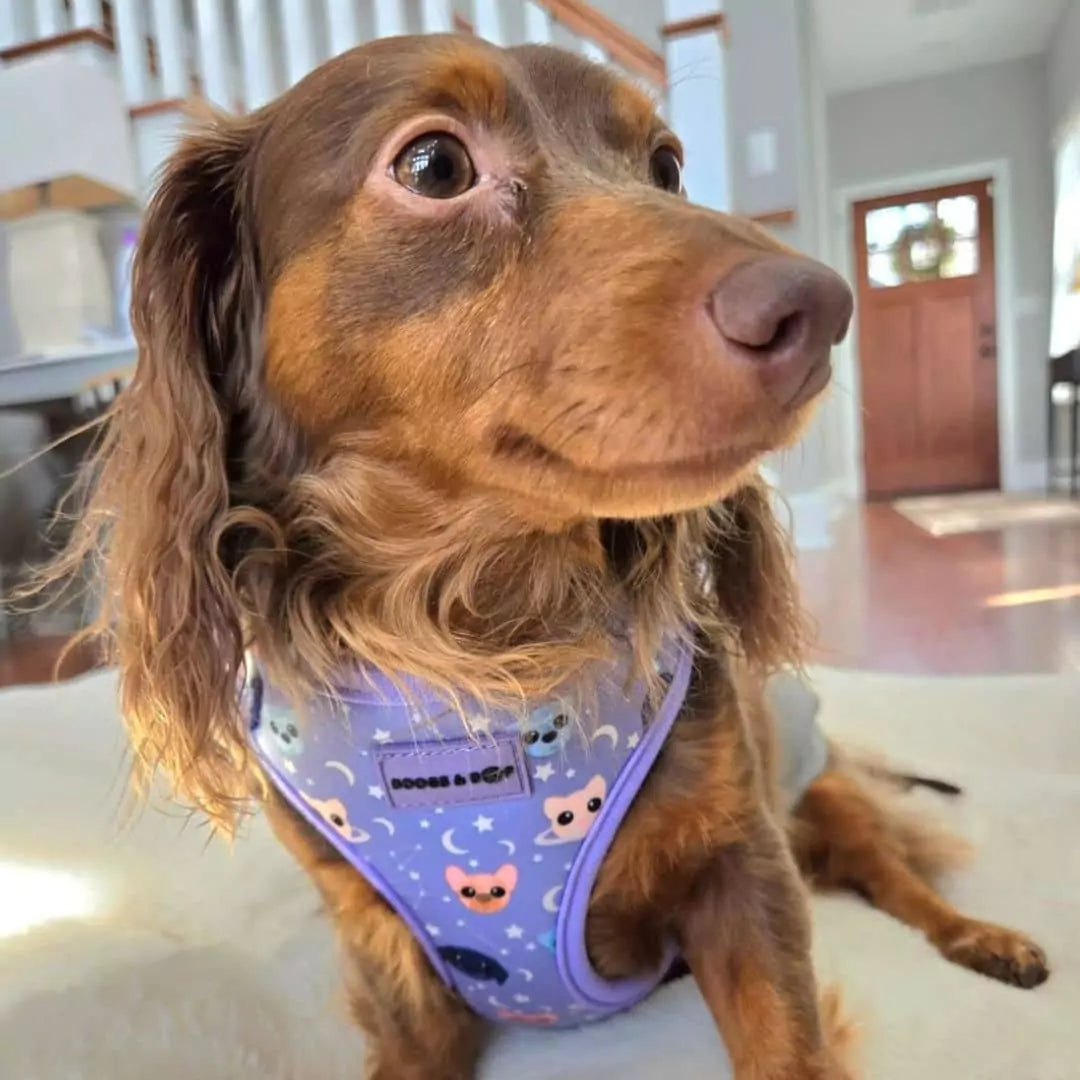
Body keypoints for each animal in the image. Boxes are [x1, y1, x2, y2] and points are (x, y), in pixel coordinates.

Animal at [44, 33, 1045, 1080]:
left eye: (666, 165)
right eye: (433, 165)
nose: (822, 309)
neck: (479, 641)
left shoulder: (745, 863)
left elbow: (787, 1038)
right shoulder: (384, 950)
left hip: (822, 794)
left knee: (894, 875)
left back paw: (983, 938)